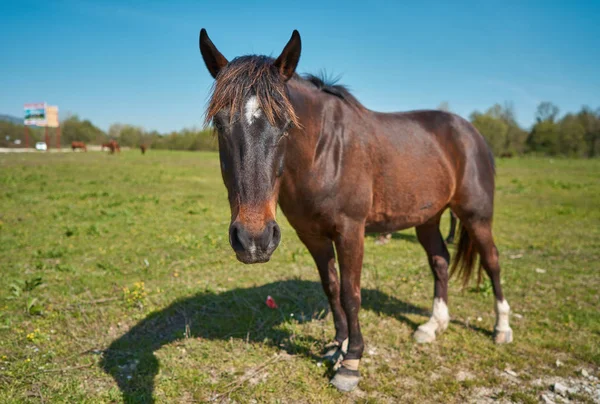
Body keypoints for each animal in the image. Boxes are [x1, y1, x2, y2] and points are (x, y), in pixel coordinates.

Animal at [198, 28, 510, 392]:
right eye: (220, 124)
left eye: (287, 124)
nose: (253, 240)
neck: (325, 152)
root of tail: (470, 132)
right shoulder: (313, 236)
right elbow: (332, 289)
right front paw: (338, 345)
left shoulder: (350, 231)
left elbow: (351, 294)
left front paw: (351, 362)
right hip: (428, 218)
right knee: (440, 262)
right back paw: (433, 325)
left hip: (476, 216)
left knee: (492, 261)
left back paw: (502, 328)